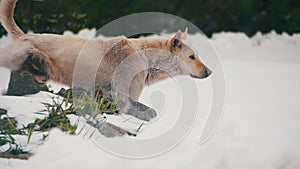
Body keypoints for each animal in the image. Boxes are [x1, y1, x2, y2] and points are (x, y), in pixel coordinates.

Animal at [0, 0, 211, 121]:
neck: (148, 59)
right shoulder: (127, 92)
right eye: (192, 56)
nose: (209, 71)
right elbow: (144, 111)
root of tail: (24, 35)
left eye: (197, 55)